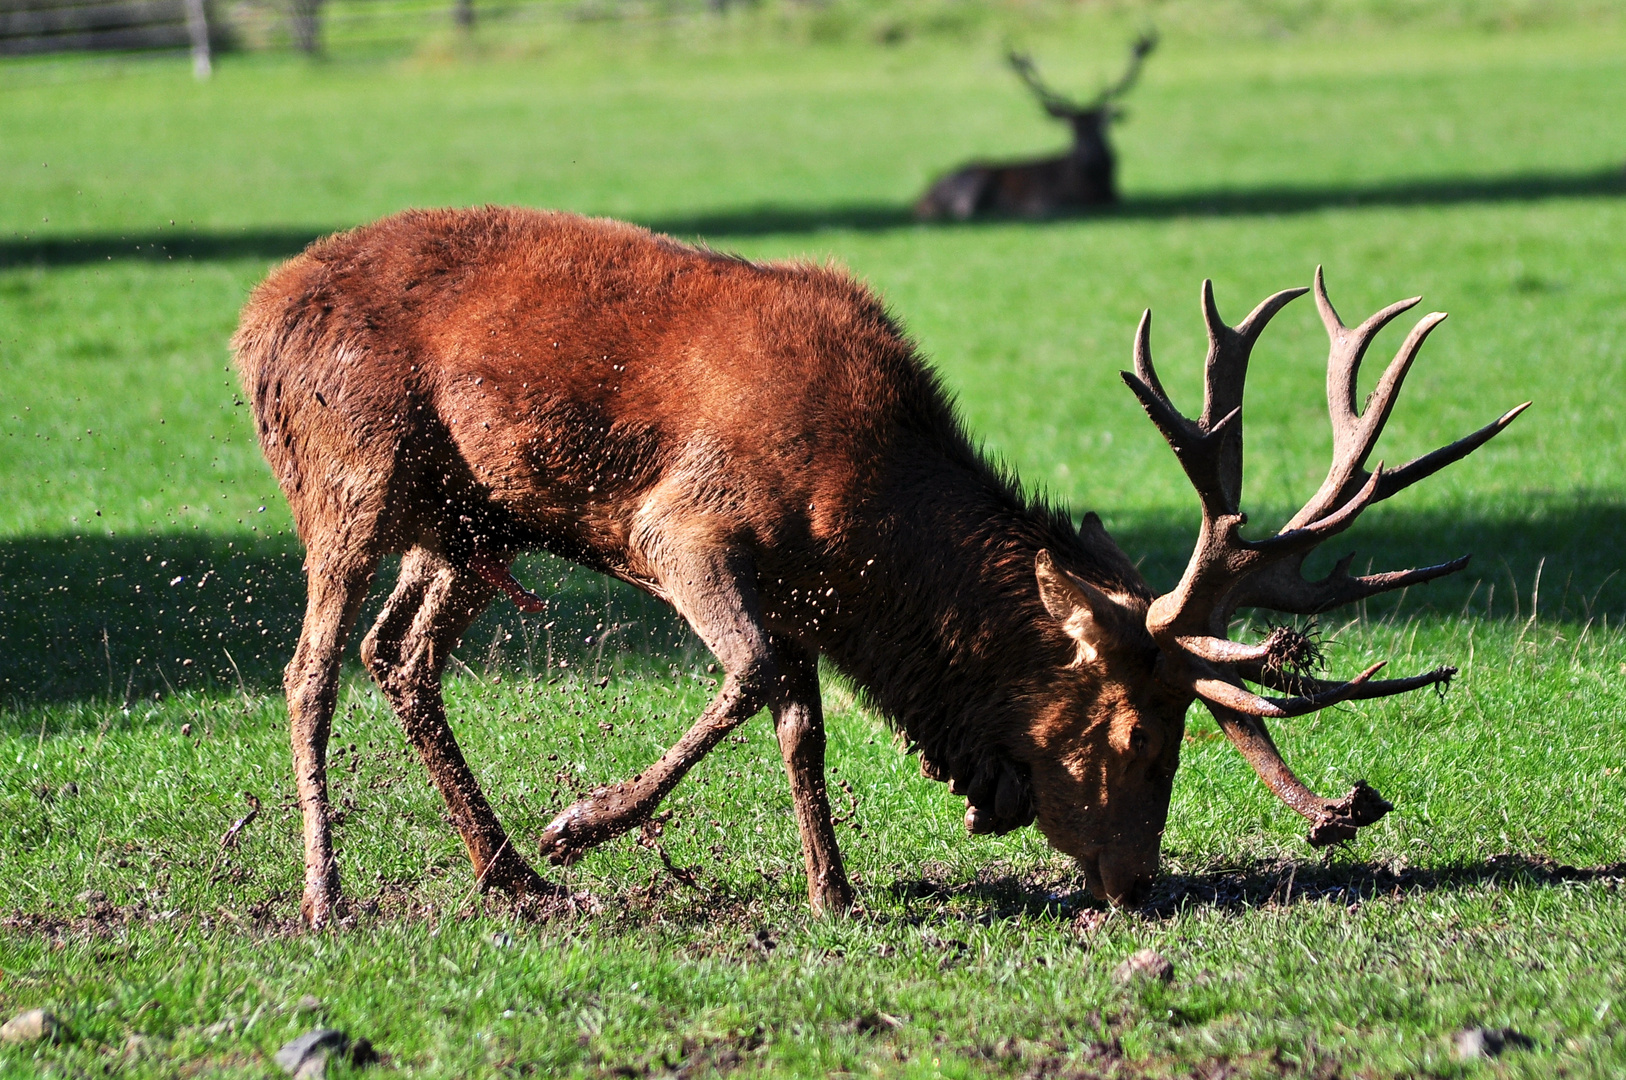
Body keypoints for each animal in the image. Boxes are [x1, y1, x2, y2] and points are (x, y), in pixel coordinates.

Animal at [232, 208, 1521, 930]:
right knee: (310, 669)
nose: (1135, 884)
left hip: (470, 521)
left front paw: (833, 892)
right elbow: (753, 678)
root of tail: (250, 323)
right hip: (348, 469)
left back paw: (508, 879)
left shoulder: (802, 588)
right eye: (1135, 732)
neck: (861, 524)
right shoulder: (681, 526)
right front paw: (585, 822)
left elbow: (800, 723)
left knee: (400, 656)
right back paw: (331, 895)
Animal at [917, 33, 1157, 221]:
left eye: (1101, 125)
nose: (1089, 157)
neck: (1095, 189)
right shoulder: (1045, 198)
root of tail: (921, 199)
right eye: (1072, 129)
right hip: (976, 180)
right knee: (964, 211)